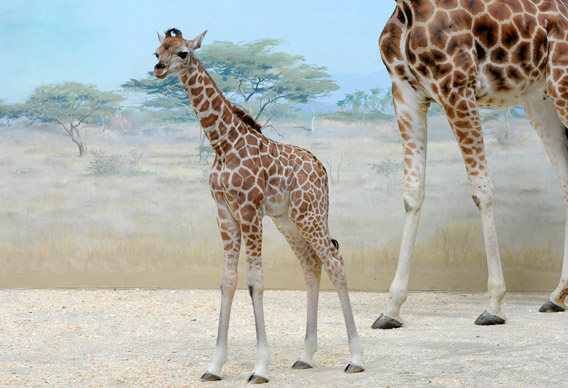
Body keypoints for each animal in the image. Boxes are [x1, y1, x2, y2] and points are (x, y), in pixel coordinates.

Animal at [152, 28, 364, 384]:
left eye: (183, 52)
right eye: (157, 51)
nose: (158, 69)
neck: (223, 144)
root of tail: (321, 169)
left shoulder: (250, 210)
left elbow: (255, 280)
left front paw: (260, 367)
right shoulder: (224, 212)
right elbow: (227, 281)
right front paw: (214, 366)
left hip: (310, 213)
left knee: (334, 261)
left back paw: (356, 358)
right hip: (287, 220)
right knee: (311, 264)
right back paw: (305, 356)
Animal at [374, 0, 568, 330]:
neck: (407, 7)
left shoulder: (456, 86)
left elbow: (481, 189)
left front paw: (494, 304)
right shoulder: (405, 91)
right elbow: (412, 194)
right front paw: (391, 308)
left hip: (561, 85)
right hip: (540, 97)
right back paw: (557, 295)